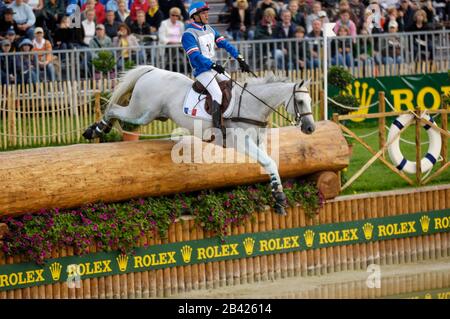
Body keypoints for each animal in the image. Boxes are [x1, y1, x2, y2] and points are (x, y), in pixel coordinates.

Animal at [85, 65, 316, 215]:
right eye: (300, 101)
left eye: (310, 101)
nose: (310, 128)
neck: (252, 104)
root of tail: (152, 71)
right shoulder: (241, 143)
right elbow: (269, 162)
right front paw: (279, 198)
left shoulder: (257, 143)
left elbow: (270, 164)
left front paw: (278, 196)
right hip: (141, 113)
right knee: (114, 109)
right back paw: (95, 130)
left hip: (152, 114)